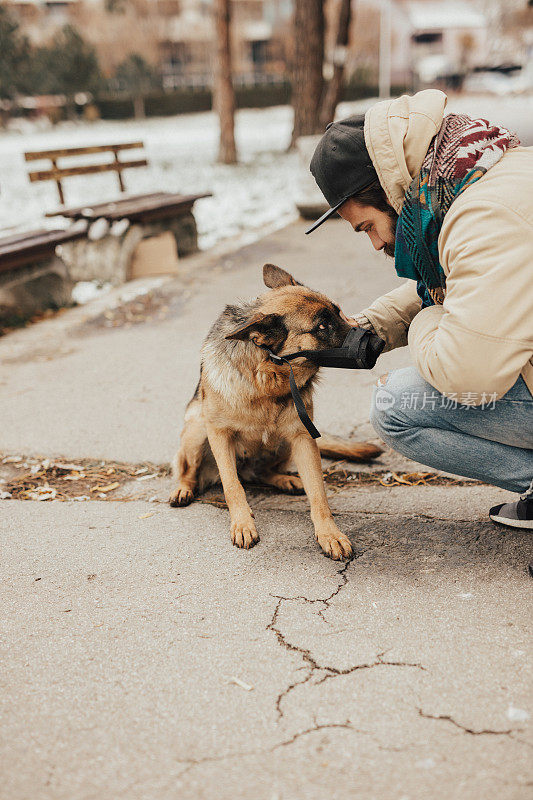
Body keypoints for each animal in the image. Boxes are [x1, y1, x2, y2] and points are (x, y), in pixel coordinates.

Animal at [168, 266, 380, 560]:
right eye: (321, 326)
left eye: (338, 312)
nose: (379, 342)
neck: (266, 380)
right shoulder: (218, 434)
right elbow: (232, 485)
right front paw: (242, 524)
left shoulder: (303, 438)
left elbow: (318, 494)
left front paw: (330, 534)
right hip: (197, 429)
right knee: (191, 471)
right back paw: (183, 488)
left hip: (283, 445)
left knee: (263, 473)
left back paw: (285, 480)